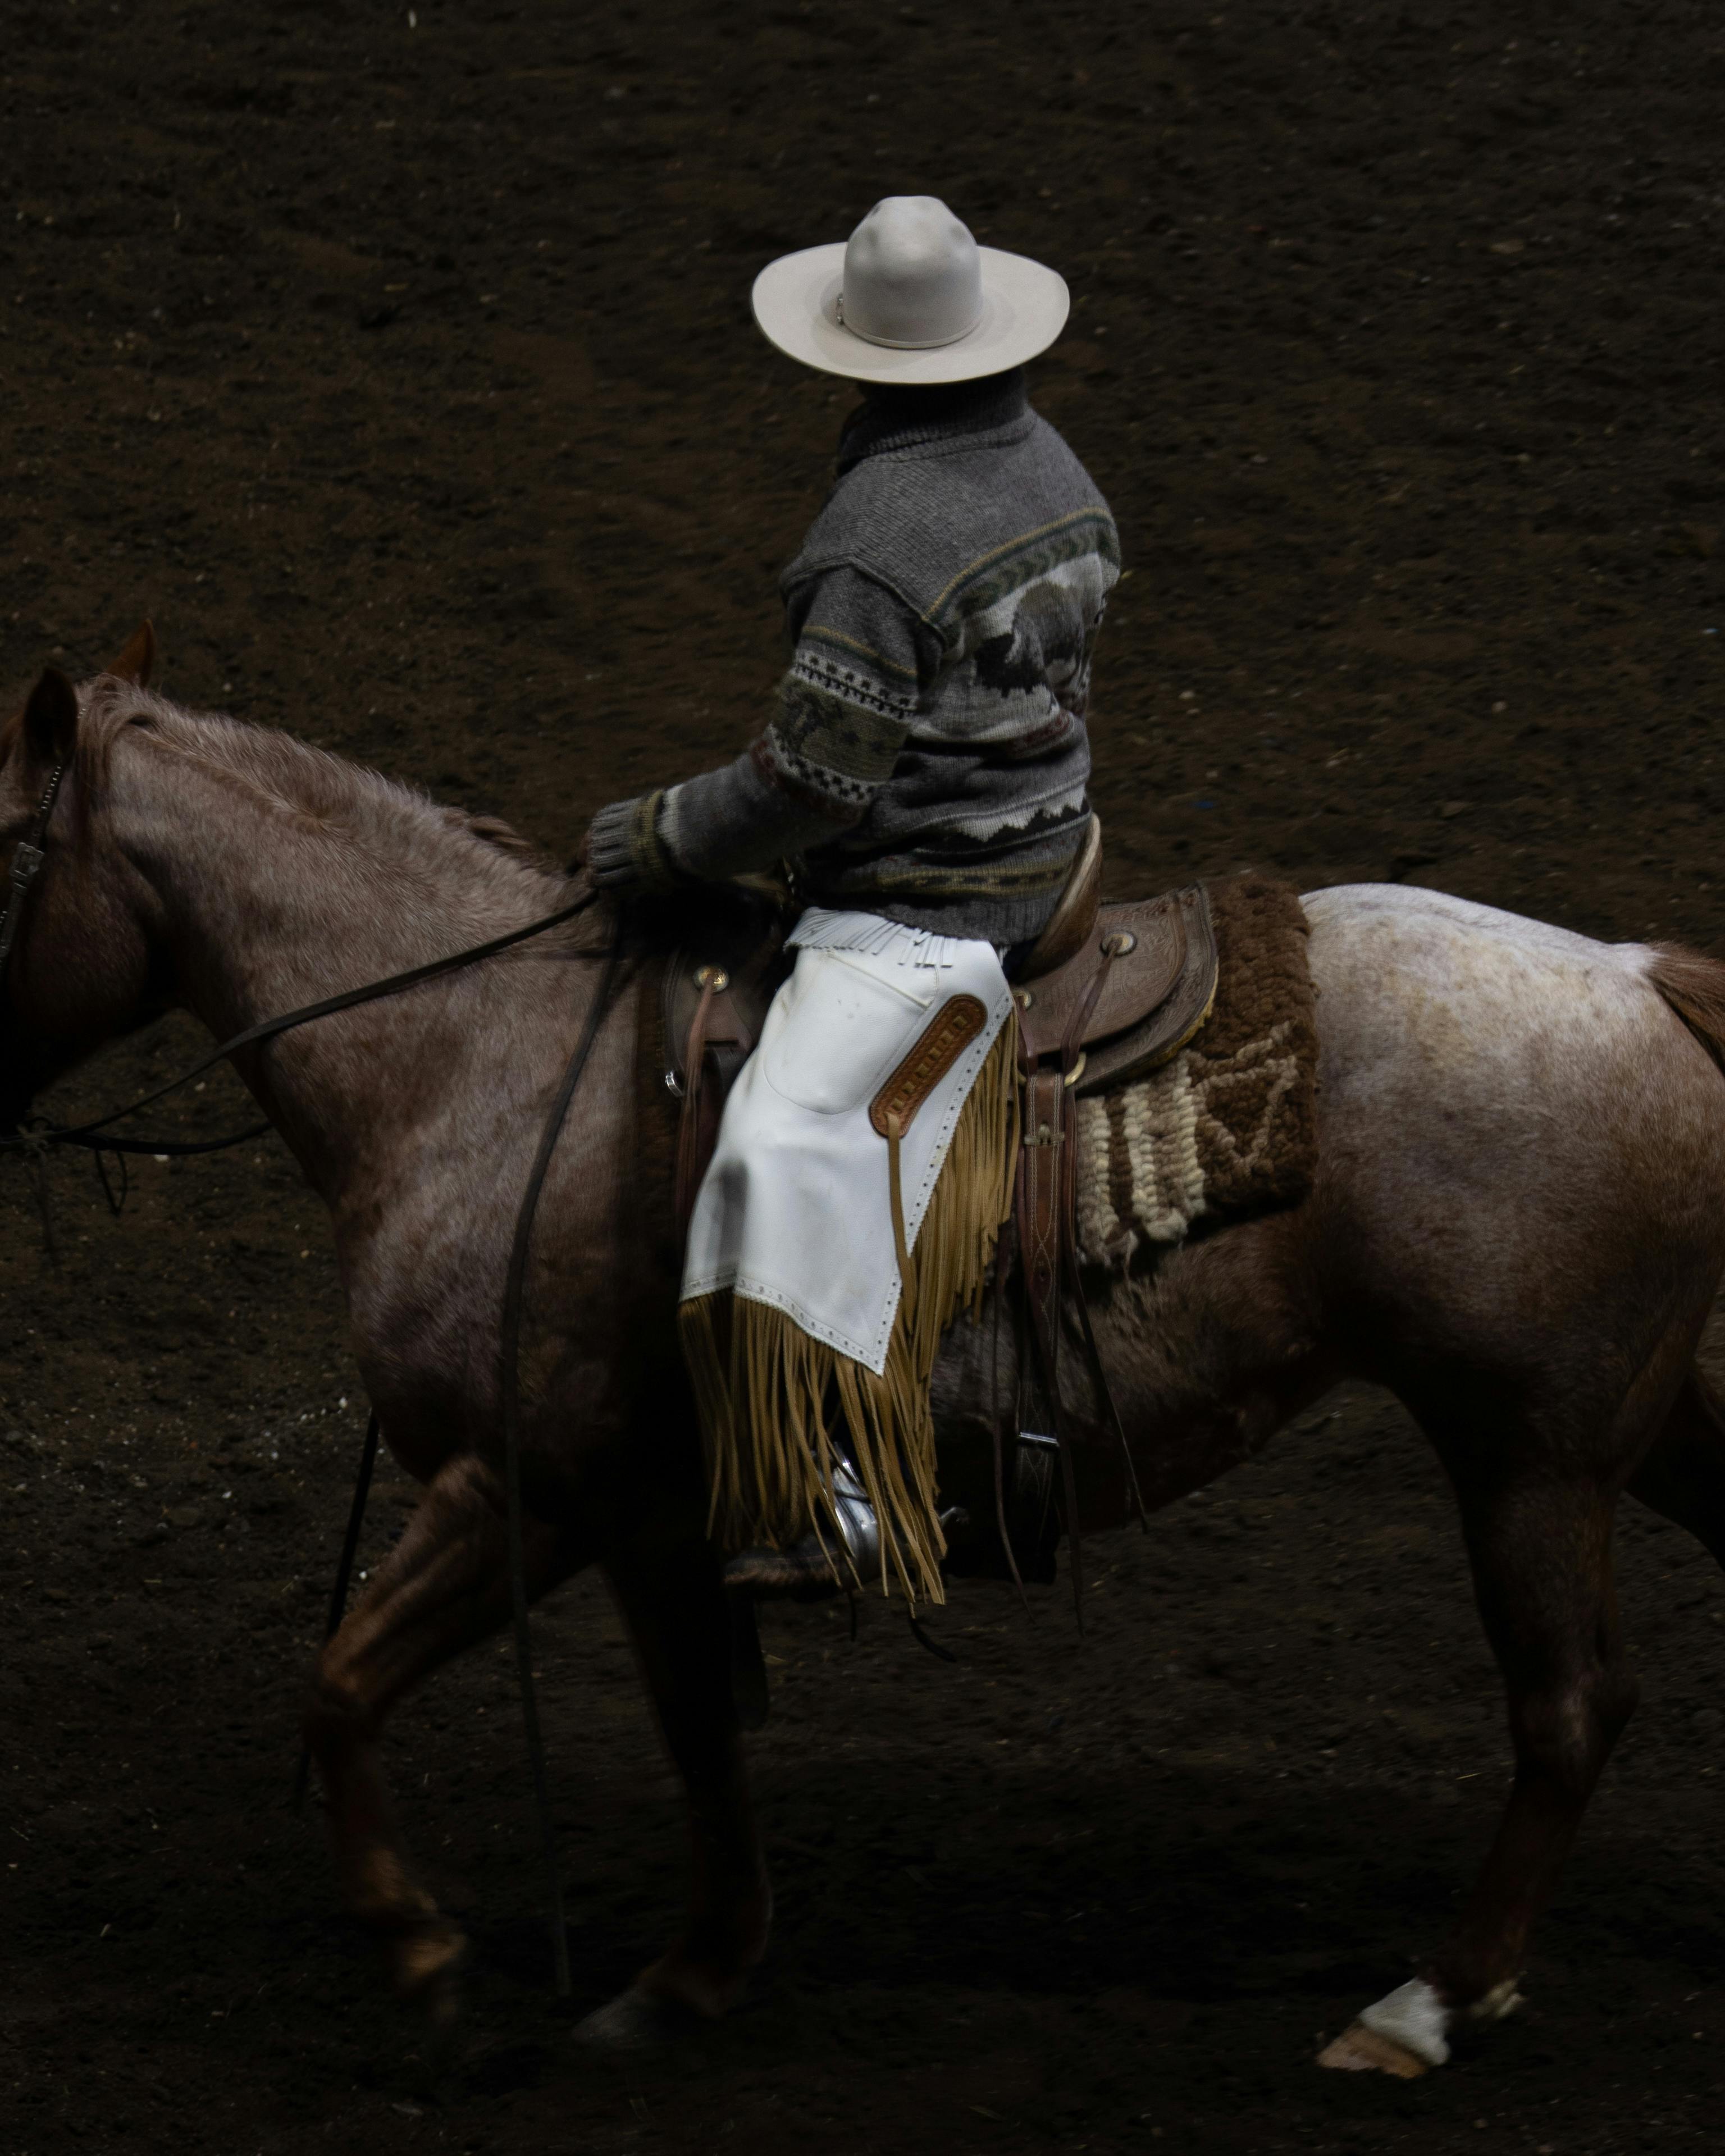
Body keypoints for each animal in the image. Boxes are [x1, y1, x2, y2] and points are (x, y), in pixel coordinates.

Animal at [8, 637, 1725, 2079]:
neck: (478, 1061)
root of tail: (1634, 976)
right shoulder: (651, 1527)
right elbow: (699, 1736)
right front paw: (690, 1974)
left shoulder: (526, 1485)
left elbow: (342, 1684)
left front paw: (426, 1957)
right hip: (1646, 1429)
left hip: (1526, 1451)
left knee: (1568, 1706)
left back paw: (1427, 2001)